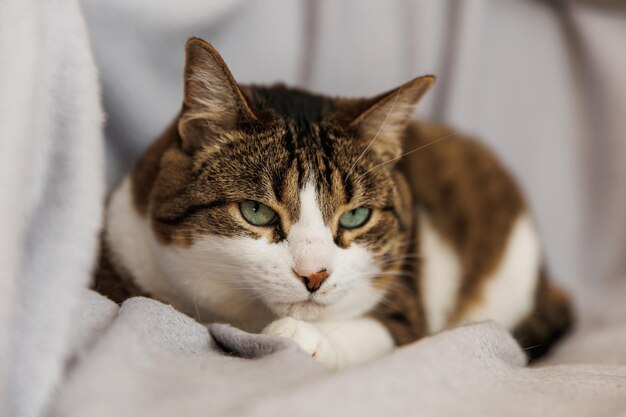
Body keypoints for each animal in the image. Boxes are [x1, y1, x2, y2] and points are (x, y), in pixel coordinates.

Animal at [92, 36, 572, 368]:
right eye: (256, 211)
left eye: (356, 216)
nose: (314, 275)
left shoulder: (406, 306)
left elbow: (375, 332)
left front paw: (301, 337)